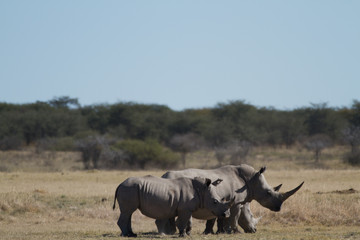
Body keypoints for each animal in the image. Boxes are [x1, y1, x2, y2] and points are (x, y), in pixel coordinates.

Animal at [158, 165, 304, 234]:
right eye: (268, 193)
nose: (279, 208)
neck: (251, 180)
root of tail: (164, 176)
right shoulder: (236, 202)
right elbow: (234, 217)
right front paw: (234, 232)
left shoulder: (221, 202)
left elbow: (218, 218)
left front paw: (215, 232)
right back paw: (170, 232)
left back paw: (171, 232)